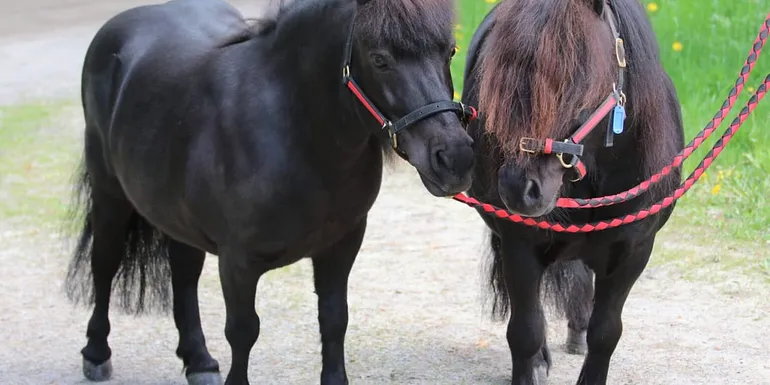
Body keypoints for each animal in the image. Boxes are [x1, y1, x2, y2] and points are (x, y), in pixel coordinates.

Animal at [64, 0, 474, 382]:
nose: (455, 159)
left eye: (450, 51)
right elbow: (243, 331)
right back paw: (96, 354)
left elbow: (334, 320)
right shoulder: (238, 261)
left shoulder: (341, 245)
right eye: (380, 59)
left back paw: (199, 362)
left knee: (183, 273)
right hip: (110, 198)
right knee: (104, 265)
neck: (296, 131)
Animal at [460, 0, 680, 384]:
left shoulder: (634, 251)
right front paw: (532, 367)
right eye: (501, 77)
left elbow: (605, 332)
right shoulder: (519, 245)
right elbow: (525, 330)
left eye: (579, 77)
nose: (518, 189)